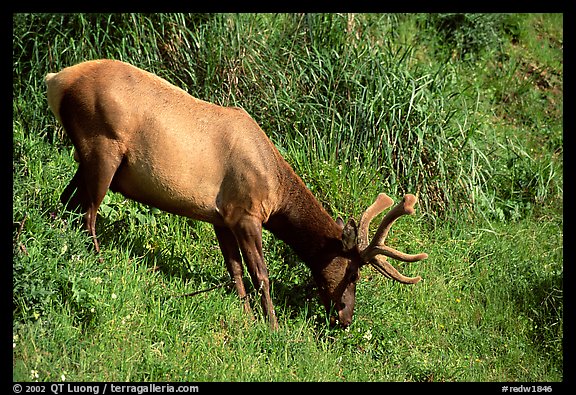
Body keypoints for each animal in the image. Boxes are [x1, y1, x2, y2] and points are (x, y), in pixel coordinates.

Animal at [46, 59, 428, 332]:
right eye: (353, 274)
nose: (345, 318)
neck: (275, 189)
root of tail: (56, 80)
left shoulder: (221, 216)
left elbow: (234, 271)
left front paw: (245, 315)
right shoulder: (246, 214)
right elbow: (261, 274)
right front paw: (272, 325)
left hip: (87, 157)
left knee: (65, 204)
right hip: (103, 147)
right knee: (88, 212)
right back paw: (97, 263)